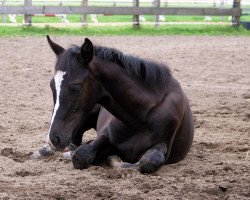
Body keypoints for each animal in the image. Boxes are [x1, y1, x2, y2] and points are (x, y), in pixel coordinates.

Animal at [32, 36, 194, 173]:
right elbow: (80, 155)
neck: (142, 117)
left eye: (76, 87)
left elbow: (146, 163)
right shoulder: (104, 136)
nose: (54, 139)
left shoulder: (162, 146)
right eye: (52, 85)